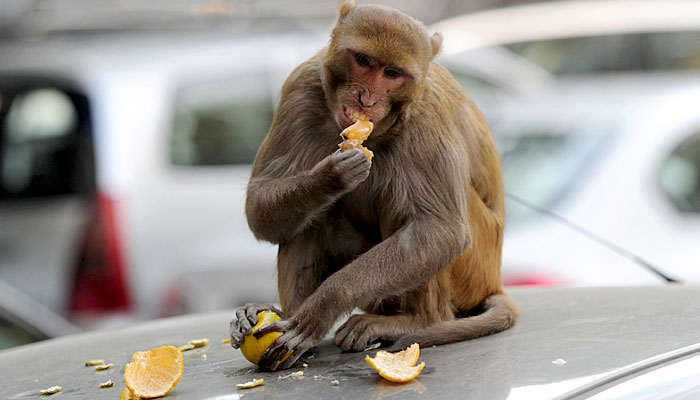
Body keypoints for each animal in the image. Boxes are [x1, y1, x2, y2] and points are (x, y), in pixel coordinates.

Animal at [229, 0, 518, 371]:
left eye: (392, 73)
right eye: (363, 60)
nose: (366, 99)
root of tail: (494, 280)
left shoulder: (426, 114)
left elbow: (441, 229)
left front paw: (320, 309)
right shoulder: (300, 87)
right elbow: (259, 204)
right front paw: (328, 178)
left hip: (472, 273)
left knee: (408, 204)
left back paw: (416, 320)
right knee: (310, 219)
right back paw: (286, 315)